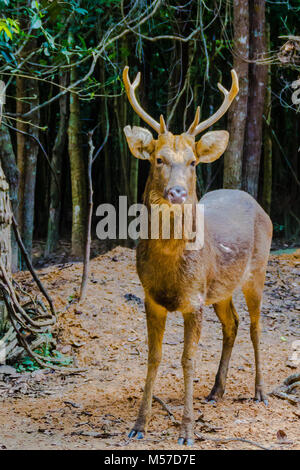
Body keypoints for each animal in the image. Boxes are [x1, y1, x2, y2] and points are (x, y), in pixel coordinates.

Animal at [121, 65, 272, 444]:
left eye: (192, 162)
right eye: (158, 158)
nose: (176, 192)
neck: (170, 273)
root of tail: (255, 202)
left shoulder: (194, 301)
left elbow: (187, 360)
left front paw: (187, 431)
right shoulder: (151, 298)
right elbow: (154, 357)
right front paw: (139, 425)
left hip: (258, 269)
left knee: (255, 326)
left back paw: (260, 391)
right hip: (220, 290)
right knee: (233, 324)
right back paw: (216, 391)